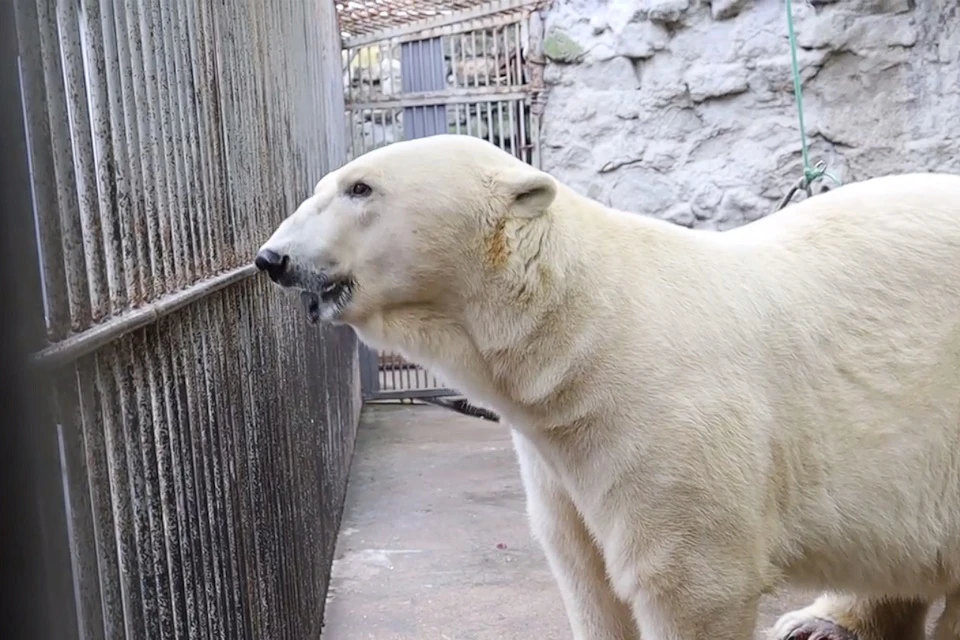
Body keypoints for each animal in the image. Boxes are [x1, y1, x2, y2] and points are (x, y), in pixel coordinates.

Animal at [255, 135, 960, 640]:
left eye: (361, 187)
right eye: (325, 187)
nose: (272, 258)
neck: (583, 332)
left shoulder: (669, 423)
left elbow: (688, 581)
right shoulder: (557, 450)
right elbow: (584, 571)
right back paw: (818, 624)